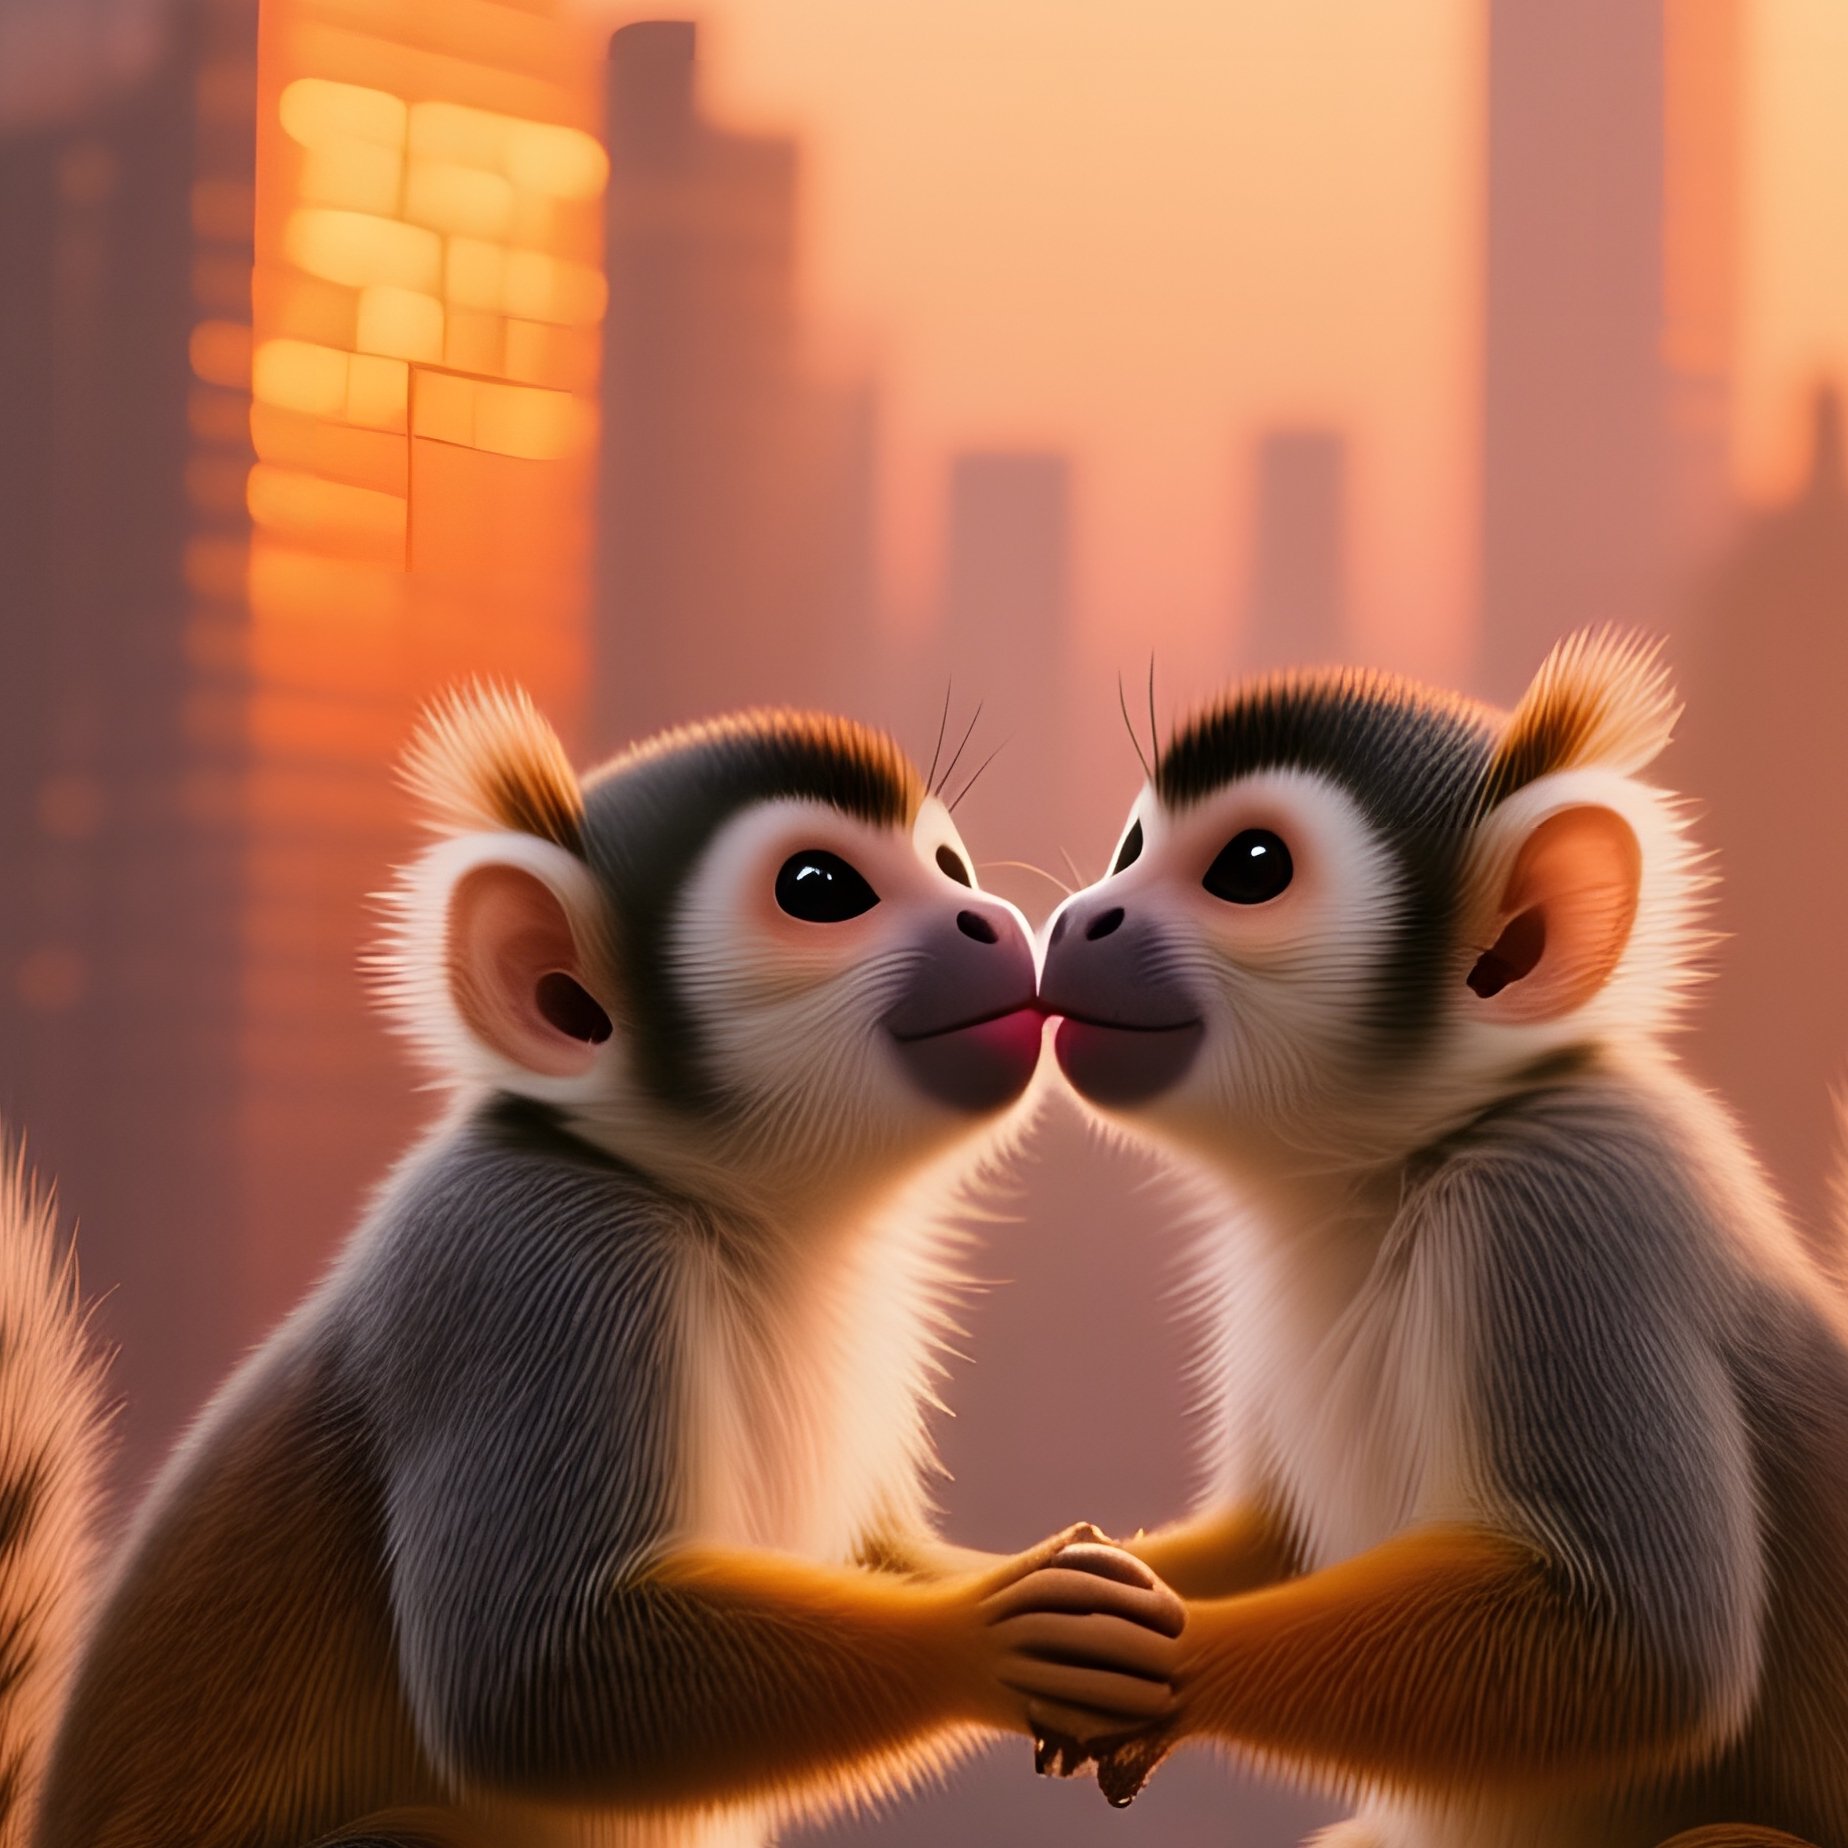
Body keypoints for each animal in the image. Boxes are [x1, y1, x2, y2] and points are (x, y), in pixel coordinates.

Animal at [7, 688, 1183, 1848]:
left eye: (949, 867)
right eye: (820, 888)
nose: (988, 920)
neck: (718, 1202)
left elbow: (864, 1553)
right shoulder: (540, 1261)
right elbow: (528, 1680)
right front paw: (995, 1636)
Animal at [1033, 631, 1848, 1846]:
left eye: (1251, 867)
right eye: (1132, 848)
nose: (1086, 916)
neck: (1402, 1166)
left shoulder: (1563, 1205)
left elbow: (1642, 1646)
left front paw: (1156, 1659)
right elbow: (1276, 1537)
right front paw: (1043, 1589)